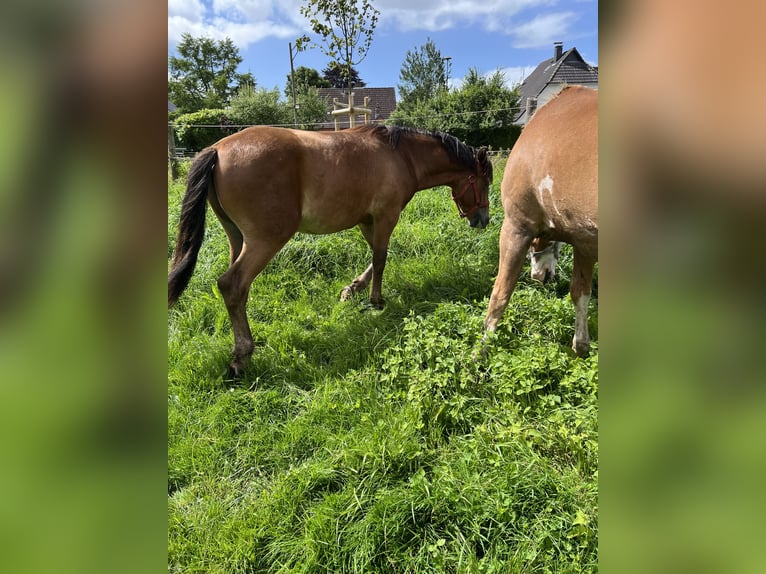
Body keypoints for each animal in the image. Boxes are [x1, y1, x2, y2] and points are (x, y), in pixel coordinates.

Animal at [170, 125, 492, 378]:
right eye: (485, 182)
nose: (484, 220)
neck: (402, 156)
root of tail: (217, 149)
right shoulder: (386, 216)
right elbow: (381, 257)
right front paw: (375, 300)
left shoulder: (367, 220)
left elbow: (375, 256)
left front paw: (353, 288)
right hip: (266, 240)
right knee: (232, 285)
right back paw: (242, 355)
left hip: (236, 238)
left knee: (235, 291)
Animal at [486, 86, 600, 358]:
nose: (541, 276)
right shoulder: (586, 242)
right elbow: (581, 293)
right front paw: (581, 347)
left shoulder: (516, 227)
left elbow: (499, 295)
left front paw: (479, 349)